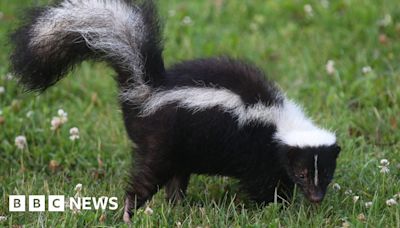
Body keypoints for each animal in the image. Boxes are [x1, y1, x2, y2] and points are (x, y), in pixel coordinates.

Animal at [9, 0, 340, 222]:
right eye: (302, 171)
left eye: (325, 172)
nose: (316, 198)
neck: (279, 121)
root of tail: (148, 89)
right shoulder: (256, 151)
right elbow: (263, 185)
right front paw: (277, 208)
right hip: (161, 142)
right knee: (146, 179)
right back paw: (129, 214)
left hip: (179, 148)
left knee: (176, 179)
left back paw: (177, 206)